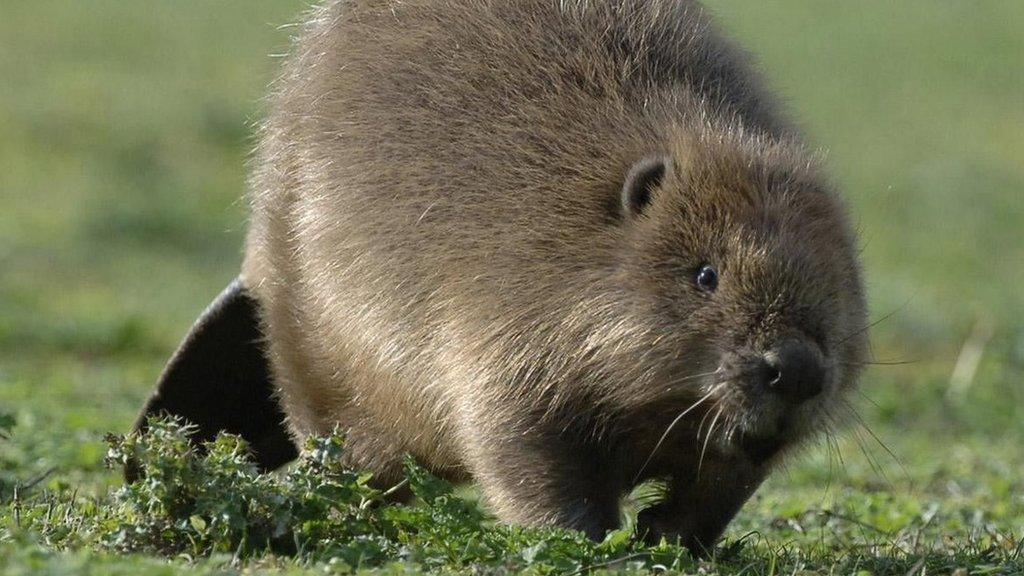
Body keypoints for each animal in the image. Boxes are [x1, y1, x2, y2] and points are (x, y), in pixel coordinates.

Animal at [134, 0, 864, 549]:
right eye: (706, 275)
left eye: (838, 291)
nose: (794, 369)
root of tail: (251, 276)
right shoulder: (501, 334)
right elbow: (521, 449)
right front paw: (591, 538)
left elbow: (723, 482)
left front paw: (665, 535)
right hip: (305, 329)